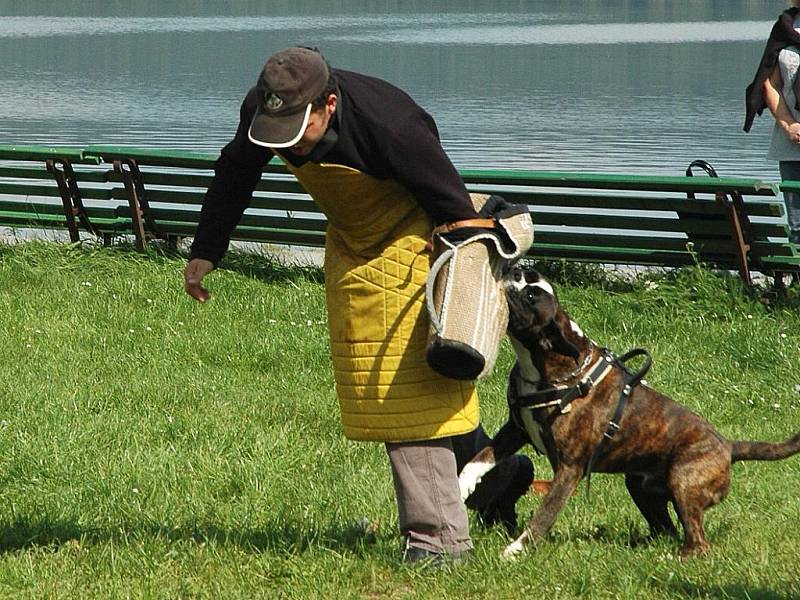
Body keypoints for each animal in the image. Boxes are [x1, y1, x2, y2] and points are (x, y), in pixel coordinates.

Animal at [460, 268, 800, 556]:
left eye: (531, 296)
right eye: (527, 278)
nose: (516, 269)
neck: (556, 366)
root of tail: (728, 445)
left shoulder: (569, 469)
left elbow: (545, 513)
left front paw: (517, 550)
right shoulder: (515, 431)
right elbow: (479, 459)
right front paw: (463, 485)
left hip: (684, 482)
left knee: (697, 541)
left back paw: (675, 557)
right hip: (640, 485)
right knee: (665, 529)